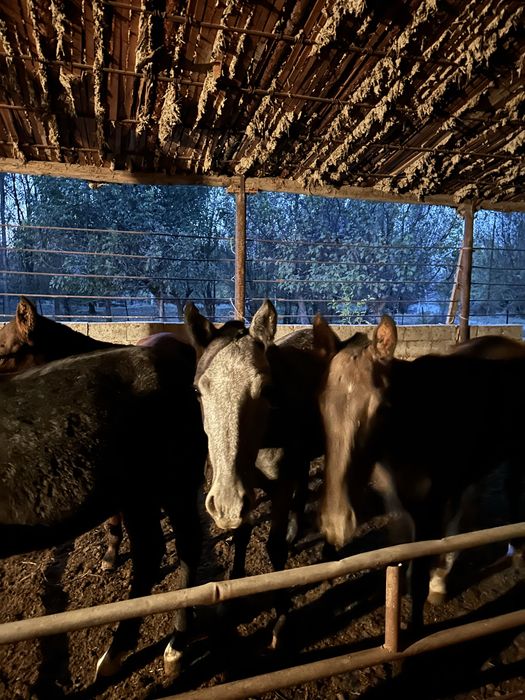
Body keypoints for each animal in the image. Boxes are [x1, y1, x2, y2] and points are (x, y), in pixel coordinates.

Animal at [313, 314, 525, 632]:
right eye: (322, 404)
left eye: (382, 407)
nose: (337, 523)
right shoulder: (398, 505)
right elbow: (402, 557)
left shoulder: (431, 506)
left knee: (512, 491)